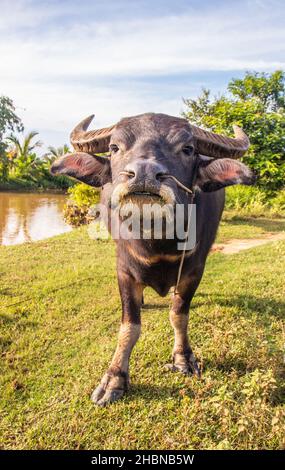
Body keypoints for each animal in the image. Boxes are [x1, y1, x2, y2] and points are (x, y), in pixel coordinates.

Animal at [51, 112, 251, 406]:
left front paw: (183, 358)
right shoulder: (124, 271)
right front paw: (114, 379)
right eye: (114, 147)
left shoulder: (194, 271)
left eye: (187, 149)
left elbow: (179, 314)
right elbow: (129, 327)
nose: (144, 174)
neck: (156, 241)